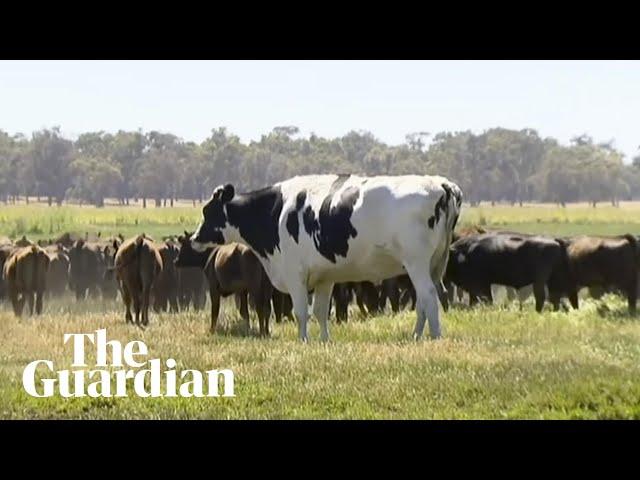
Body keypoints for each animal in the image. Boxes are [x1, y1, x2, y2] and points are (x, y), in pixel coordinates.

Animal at [188, 172, 462, 342]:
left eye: (207, 211)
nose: (194, 238)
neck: (276, 212)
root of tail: (440, 184)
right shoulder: (325, 277)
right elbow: (320, 311)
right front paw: (324, 341)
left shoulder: (295, 273)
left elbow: (301, 311)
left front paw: (303, 341)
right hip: (429, 265)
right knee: (424, 300)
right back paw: (417, 335)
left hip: (416, 263)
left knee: (429, 296)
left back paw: (435, 337)